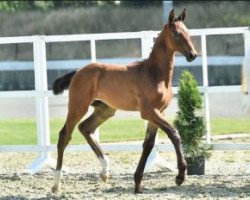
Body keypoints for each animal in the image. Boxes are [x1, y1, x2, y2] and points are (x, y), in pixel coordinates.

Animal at [51, 8, 197, 194]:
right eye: (176, 34)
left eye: (188, 32)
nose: (193, 55)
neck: (154, 73)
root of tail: (78, 71)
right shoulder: (149, 112)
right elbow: (174, 134)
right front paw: (180, 176)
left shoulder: (158, 112)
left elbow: (148, 144)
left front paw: (137, 184)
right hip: (78, 107)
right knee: (65, 135)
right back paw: (56, 184)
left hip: (105, 110)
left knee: (86, 128)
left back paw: (105, 172)